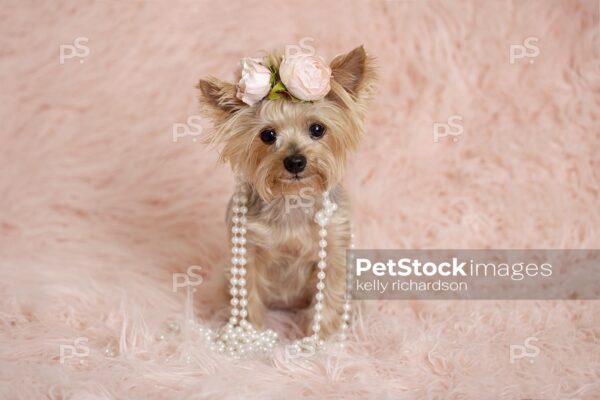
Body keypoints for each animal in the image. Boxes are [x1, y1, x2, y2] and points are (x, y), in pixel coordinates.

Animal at [197, 45, 376, 338]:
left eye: (317, 129)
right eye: (267, 135)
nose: (295, 161)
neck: (292, 197)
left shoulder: (335, 247)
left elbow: (330, 292)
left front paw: (321, 336)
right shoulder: (247, 250)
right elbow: (247, 294)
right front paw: (249, 334)